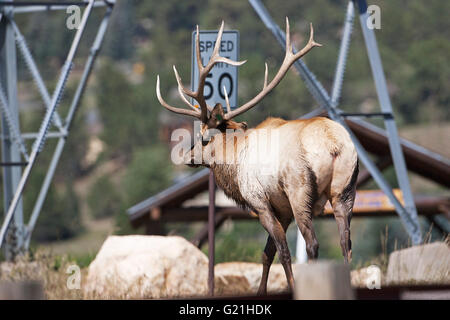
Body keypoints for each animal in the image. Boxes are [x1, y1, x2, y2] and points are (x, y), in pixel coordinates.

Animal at [156, 19, 360, 296]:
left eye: (203, 137)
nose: (186, 155)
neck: (234, 161)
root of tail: (334, 144)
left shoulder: (260, 201)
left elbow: (281, 252)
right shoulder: (282, 209)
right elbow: (266, 254)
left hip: (300, 190)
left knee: (312, 244)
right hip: (345, 190)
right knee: (345, 243)